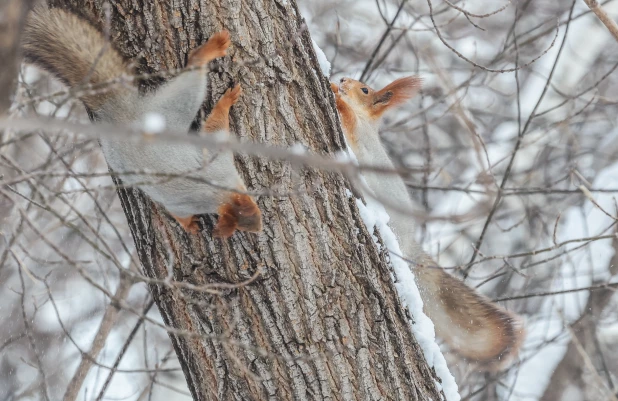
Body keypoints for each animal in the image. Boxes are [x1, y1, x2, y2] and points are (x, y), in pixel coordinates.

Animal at [21, 7, 260, 238]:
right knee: (194, 72)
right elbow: (214, 128)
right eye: (242, 225)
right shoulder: (201, 182)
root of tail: (122, 114)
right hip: (172, 108)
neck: (218, 192)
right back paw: (207, 52)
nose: (259, 228)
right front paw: (189, 225)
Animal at [330, 76, 524, 368]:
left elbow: (348, 121)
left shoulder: (360, 136)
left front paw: (336, 95)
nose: (342, 80)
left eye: (365, 89)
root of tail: (410, 246)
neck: (368, 123)